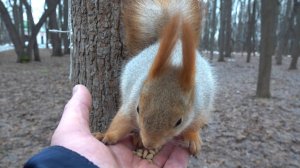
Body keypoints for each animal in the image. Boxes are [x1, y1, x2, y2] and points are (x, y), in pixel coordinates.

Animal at [95, 0, 214, 156]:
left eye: (179, 122)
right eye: (138, 109)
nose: (149, 144)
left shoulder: (199, 109)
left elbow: (194, 126)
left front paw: (193, 138)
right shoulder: (130, 104)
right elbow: (120, 122)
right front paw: (107, 135)